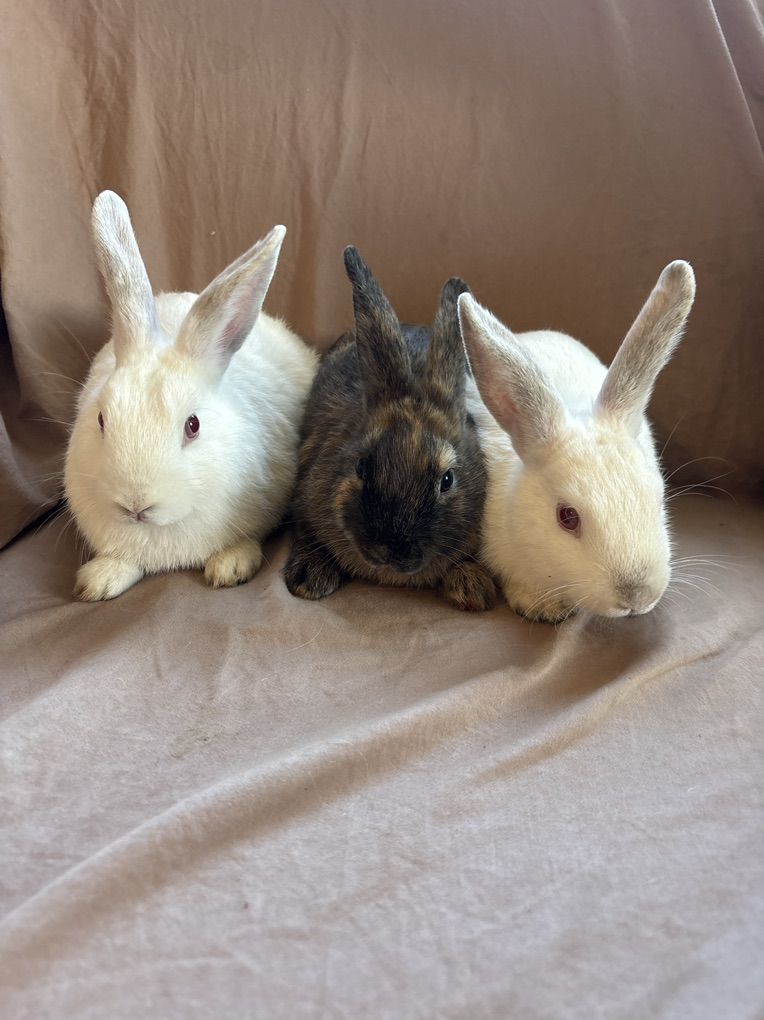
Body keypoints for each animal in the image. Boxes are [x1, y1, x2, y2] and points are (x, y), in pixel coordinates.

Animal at [64, 190, 318, 601]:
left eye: (193, 425)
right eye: (101, 420)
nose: (136, 504)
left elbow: (249, 539)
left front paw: (230, 565)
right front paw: (98, 581)